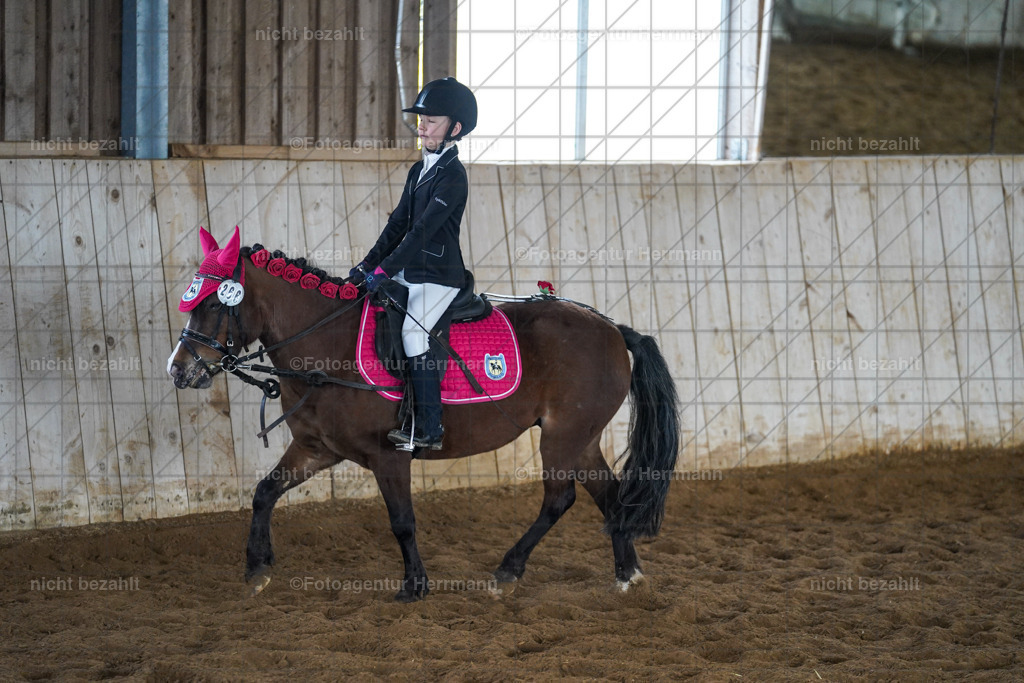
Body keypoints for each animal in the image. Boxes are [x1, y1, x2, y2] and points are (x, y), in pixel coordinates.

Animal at [167, 227, 680, 602]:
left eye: (212, 303)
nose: (178, 369)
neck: (328, 344)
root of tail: (612, 328)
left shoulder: (388, 456)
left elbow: (402, 521)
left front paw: (414, 586)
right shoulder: (316, 449)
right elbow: (264, 493)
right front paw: (256, 568)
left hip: (562, 436)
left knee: (560, 500)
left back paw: (508, 571)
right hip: (582, 438)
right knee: (609, 497)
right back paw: (628, 574)